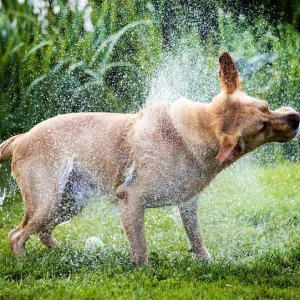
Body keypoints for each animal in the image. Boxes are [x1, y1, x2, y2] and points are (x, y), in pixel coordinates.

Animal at [0, 52, 298, 266]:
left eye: (266, 107)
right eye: (262, 126)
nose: (295, 117)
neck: (190, 137)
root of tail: (21, 137)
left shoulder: (188, 203)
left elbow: (197, 238)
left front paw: (208, 263)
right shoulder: (131, 200)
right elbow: (140, 248)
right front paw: (142, 272)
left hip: (69, 203)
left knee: (42, 232)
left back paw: (66, 253)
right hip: (47, 200)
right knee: (17, 235)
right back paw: (26, 263)